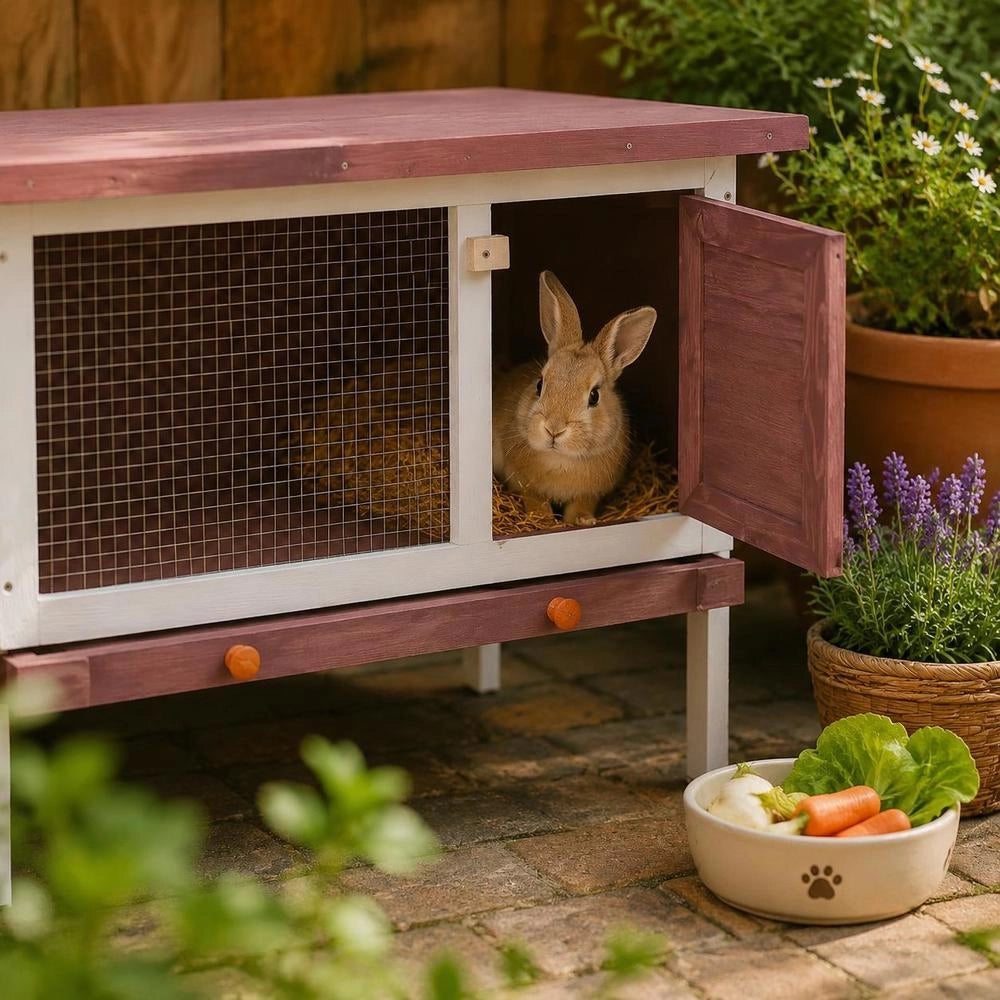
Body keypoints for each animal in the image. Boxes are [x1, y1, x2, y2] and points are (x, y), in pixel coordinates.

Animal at [492, 270, 656, 526]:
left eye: (594, 396)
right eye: (539, 384)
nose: (554, 429)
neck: (562, 460)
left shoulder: (591, 493)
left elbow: (581, 505)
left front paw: (584, 521)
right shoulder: (523, 482)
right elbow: (535, 499)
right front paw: (543, 519)